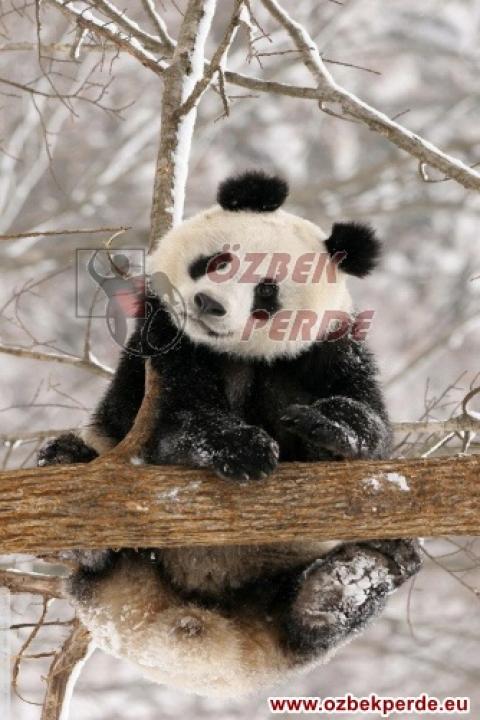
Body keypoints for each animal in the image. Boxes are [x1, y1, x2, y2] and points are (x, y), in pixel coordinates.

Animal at [38, 171, 421, 697]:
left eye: (267, 293)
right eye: (218, 260)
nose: (209, 303)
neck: (235, 354)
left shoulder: (329, 347)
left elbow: (374, 428)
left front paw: (329, 428)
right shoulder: (158, 348)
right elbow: (175, 421)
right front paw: (242, 448)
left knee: (312, 618)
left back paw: (347, 583)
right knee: (93, 534)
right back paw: (72, 486)